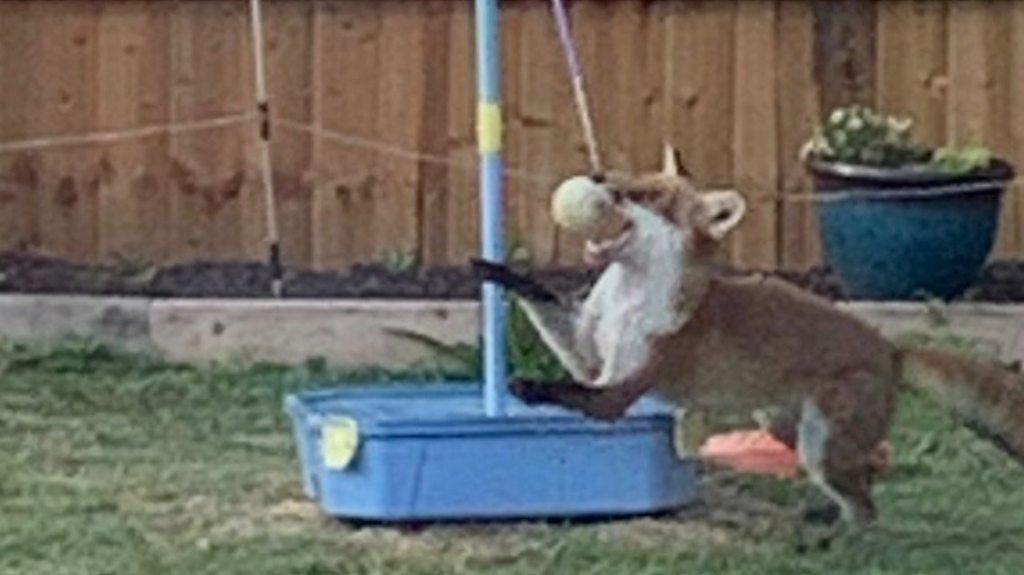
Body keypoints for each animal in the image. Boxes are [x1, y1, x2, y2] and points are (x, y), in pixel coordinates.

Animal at [471, 144, 1024, 527]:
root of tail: (888, 346)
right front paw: (495, 269)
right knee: (869, 478)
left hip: (820, 445)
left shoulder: (617, 390)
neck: (629, 300)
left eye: (649, 195)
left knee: (867, 509)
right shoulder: (588, 355)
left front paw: (526, 388)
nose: (598, 176)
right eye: (631, 177)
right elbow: (538, 296)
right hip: (788, 430)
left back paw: (836, 542)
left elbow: (569, 392)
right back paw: (828, 519)